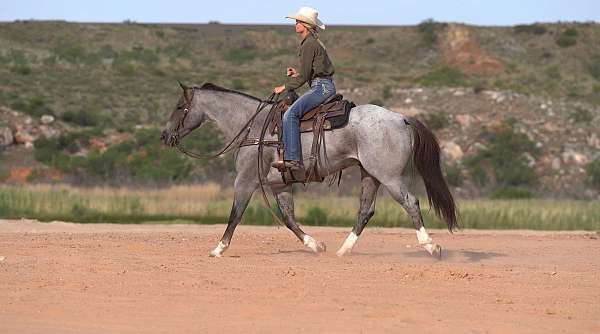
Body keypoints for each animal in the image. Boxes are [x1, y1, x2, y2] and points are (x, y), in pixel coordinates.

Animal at [162, 83, 458, 258]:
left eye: (179, 106)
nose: (165, 136)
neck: (253, 126)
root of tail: (401, 118)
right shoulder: (279, 185)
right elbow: (288, 218)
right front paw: (315, 245)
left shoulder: (244, 180)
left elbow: (235, 214)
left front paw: (218, 249)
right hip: (369, 175)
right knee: (365, 211)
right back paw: (342, 250)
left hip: (389, 177)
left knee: (411, 202)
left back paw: (431, 245)